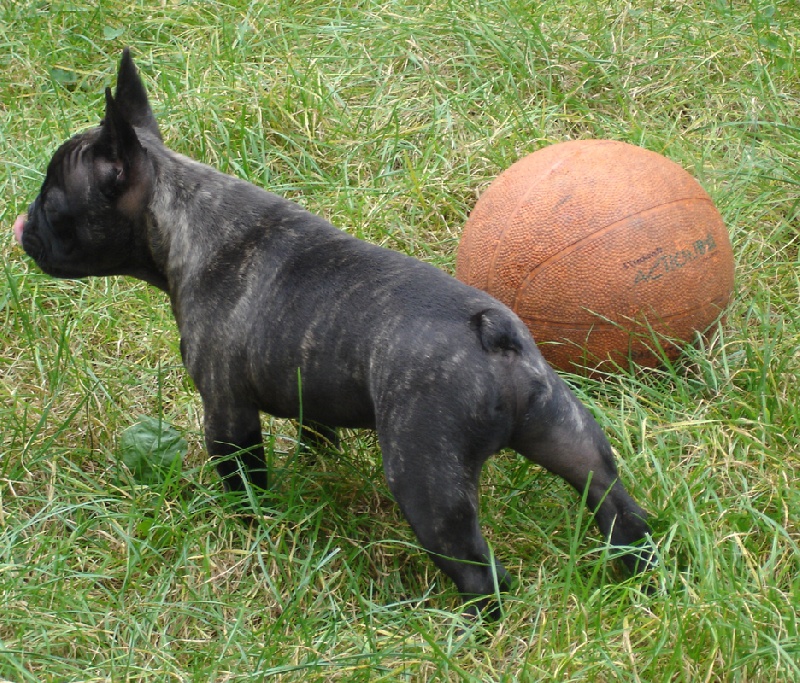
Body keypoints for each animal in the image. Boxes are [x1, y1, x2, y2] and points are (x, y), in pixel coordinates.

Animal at [14, 49, 656, 616]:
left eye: (54, 203)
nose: (23, 225)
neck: (182, 210)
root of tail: (494, 334)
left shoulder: (225, 409)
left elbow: (243, 477)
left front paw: (249, 524)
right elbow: (315, 431)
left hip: (426, 478)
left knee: (480, 573)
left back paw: (475, 628)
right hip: (569, 432)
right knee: (616, 507)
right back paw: (644, 576)